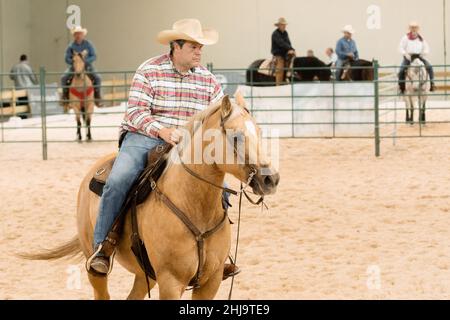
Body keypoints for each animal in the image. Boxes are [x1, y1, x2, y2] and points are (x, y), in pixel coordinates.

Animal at [23, 95, 282, 300]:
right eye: (236, 136)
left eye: (259, 132)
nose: (270, 179)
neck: (193, 205)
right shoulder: (170, 282)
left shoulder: (211, 281)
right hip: (95, 264)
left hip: (144, 274)